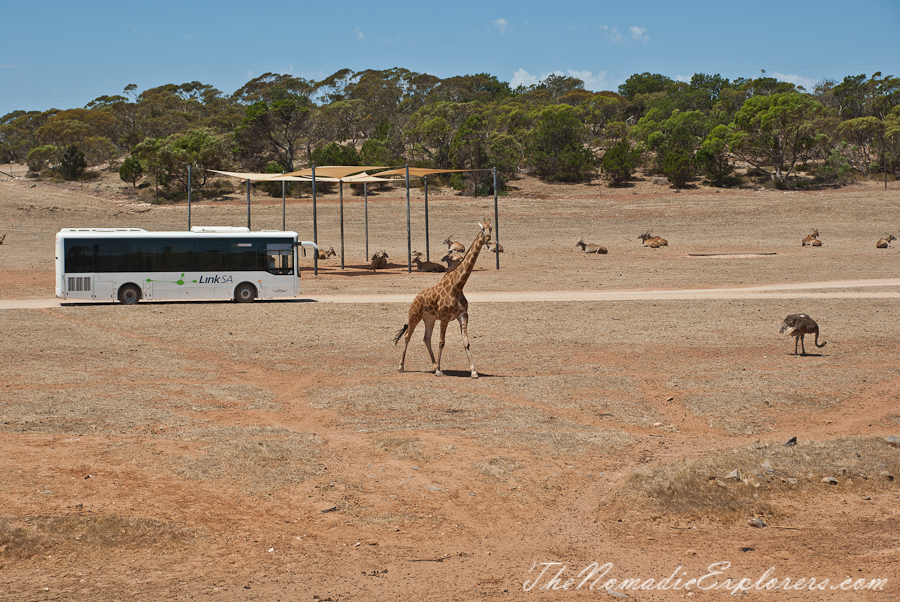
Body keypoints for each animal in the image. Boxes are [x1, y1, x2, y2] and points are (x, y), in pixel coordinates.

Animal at [394, 214, 492, 376]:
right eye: (482, 229)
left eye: (491, 228)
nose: (489, 237)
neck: (458, 286)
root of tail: (416, 297)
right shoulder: (445, 317)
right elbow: (441, 342)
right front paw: (440, 371)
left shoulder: (463, 315)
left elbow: (466, 342)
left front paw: (473, 371)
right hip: (414, 315)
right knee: (407, 336)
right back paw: (401, 366)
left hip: (429, 318)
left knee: (426, 338)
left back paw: (434, 366)